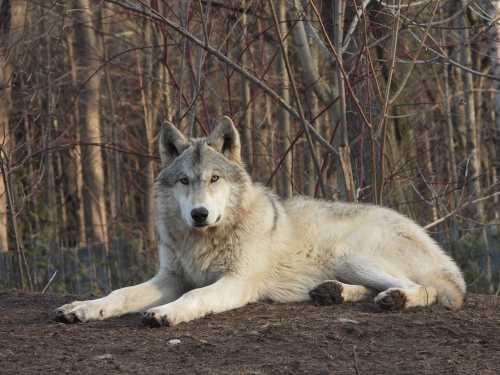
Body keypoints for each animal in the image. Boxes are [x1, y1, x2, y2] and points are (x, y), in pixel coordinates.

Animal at [54, 116, 464, 328]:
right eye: (185, 180)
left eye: (214, 179)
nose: (199, 214)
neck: (206, 239)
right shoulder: (169, 277)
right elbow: (120, 293)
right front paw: (83, 308)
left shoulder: (235, 281)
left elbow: (195, 296)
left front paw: (166, 312)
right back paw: (332, 293)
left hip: (352, 255)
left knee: (427, 290)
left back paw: (395, 299)